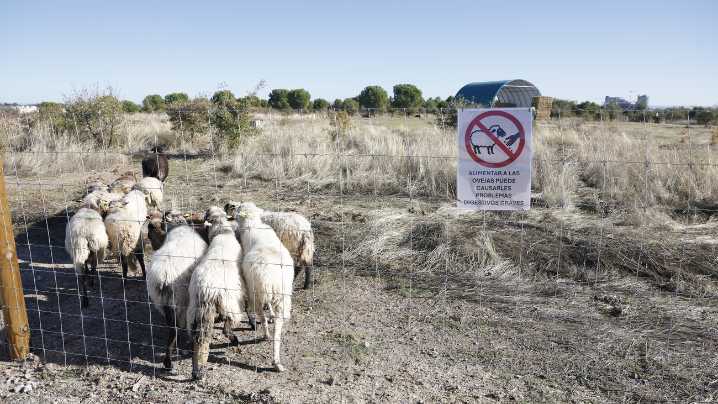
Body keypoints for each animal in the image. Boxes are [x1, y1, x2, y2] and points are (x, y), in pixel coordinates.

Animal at [147, 212, 207, 373]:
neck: (179, 228)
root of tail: (164, 277)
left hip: (163, 302)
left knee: (171, 329)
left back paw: (167, 361)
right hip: (180, 299)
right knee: (176, 329)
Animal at [187, 213, 245, 381]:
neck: (222, 232)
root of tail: (206, 289)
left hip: (195, 310)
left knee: (199, 337)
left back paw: (197, 369)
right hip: (230, 302)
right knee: (227, 326)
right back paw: (234, 340)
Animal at [235, 202, 294, 372]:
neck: (252, 223)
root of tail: (270, 279)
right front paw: (272, 314)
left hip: (256, 293)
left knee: (261, 316)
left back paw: (266, 334)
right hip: (281, 297)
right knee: (278, 330)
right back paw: (276, 360)